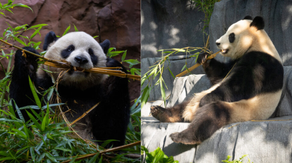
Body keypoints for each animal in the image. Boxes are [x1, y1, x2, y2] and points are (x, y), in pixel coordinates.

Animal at [152, 15, 284, 145]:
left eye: (231, 36)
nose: (217, 43)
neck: (259, 44)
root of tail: (191, 114)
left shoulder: (261, 64)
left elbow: (240, 85)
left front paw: (205, 100)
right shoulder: (235, 62)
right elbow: (220, 74)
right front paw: (204, 57)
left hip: (241, 110)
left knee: (211, 114)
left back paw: (183, 136)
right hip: (198, 98)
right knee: (184, 104)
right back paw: (161, 112)